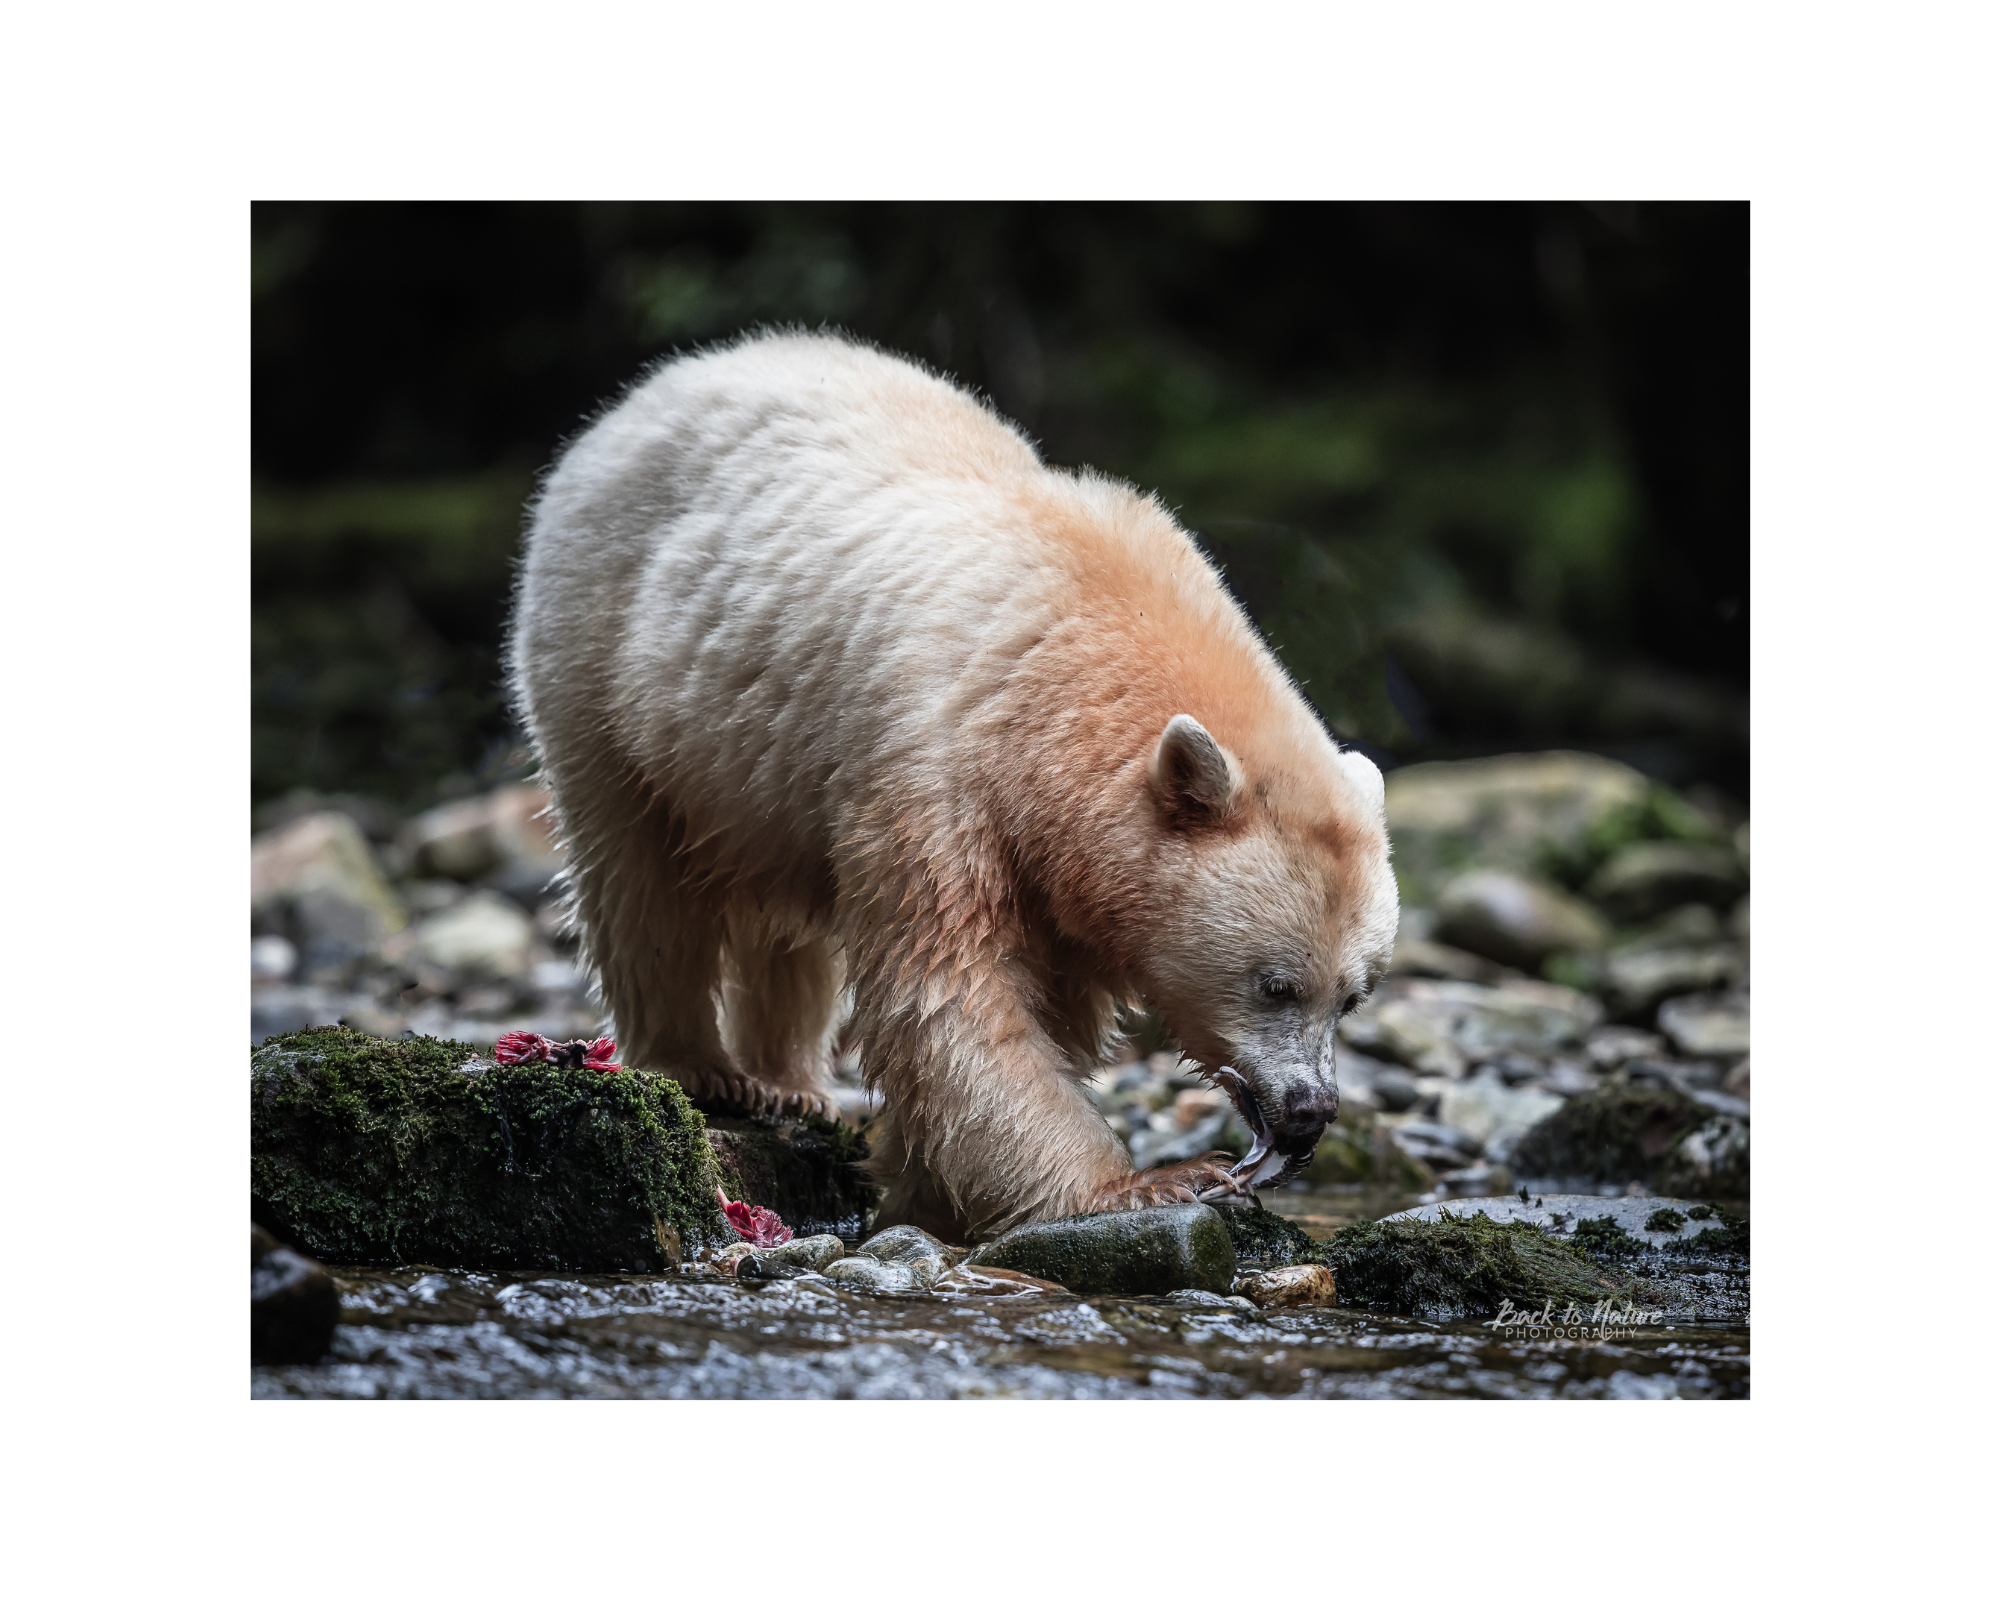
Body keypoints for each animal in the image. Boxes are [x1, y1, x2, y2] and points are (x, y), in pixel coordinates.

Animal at [508, 334, 1400, 1240]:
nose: (1310, 1113)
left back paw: (792, 1082)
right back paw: (700, 1065)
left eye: (1353, 997)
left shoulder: (1056, 858)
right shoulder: (937, 768)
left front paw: (924, 1189)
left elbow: (1048, 1005)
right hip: (603, 651)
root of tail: (654, 387)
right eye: (1276, 984)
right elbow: (951, 991)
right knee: (639, 875)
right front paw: (1147, 1184)